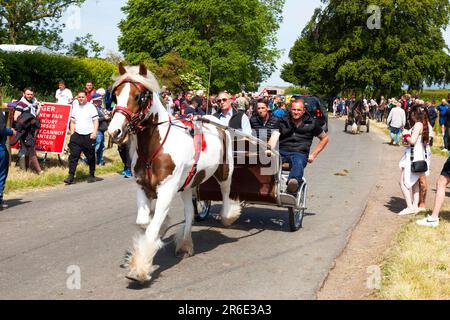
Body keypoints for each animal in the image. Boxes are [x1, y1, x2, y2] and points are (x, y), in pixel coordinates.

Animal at [108, 63, 243, 284]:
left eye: (138, 96)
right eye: (116, 94)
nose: (114, 132)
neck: (156, 147)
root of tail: (215, 119)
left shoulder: (167, 190)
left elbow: (152, 227)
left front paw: (139, 268)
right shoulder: (143, 188)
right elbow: (144, 223)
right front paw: (160, 230)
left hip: (225, 169)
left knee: (225, 192)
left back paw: (228, 215)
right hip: (188, 184)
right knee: (189, 213)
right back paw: (185, 244)